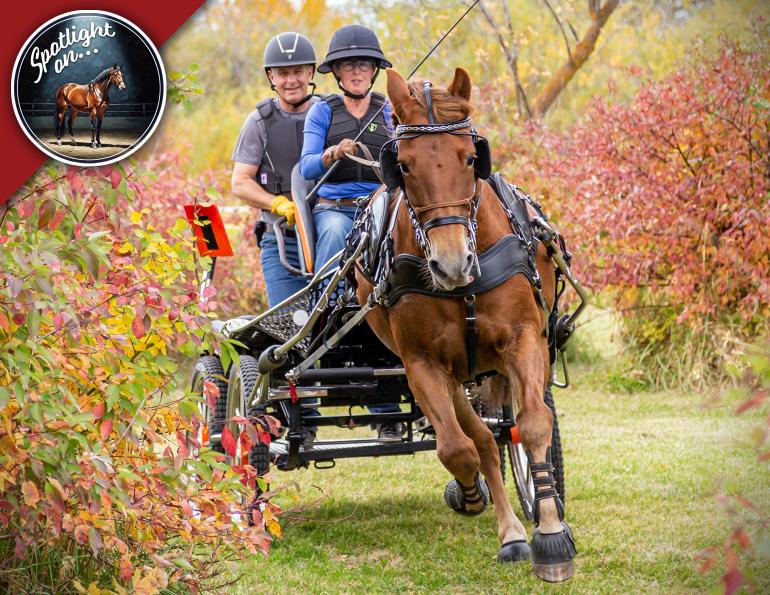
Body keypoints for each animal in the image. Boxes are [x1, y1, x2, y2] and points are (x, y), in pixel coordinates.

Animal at [354, 68, 576, 582]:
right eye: (404, 166)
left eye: (472, 157)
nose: (452, 263)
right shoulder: (422, 365)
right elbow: (457, 448)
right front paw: (473, 495)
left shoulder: (524, 341)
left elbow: (533, 424)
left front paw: (551, 535)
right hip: (456, 374)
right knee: (480, 439)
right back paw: (505, 526)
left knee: (502, 430)